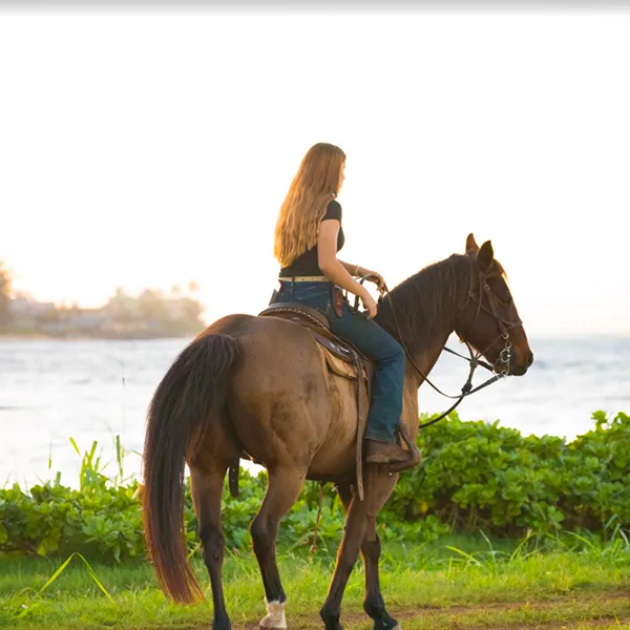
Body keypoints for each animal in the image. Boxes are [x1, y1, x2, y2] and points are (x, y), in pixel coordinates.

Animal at [142, 235, 532, 630]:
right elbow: (352, 544)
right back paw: (276, 611)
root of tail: (230, 338)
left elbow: (369, 543)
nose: (525, 357)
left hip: (207, 466)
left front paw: (379, 612)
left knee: (212, 539)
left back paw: (222, 620)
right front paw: (333, 615)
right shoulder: (380, 474)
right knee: (263, 530)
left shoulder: (350, 478)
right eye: (502, 296)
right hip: (288, 470)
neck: (402, 350)